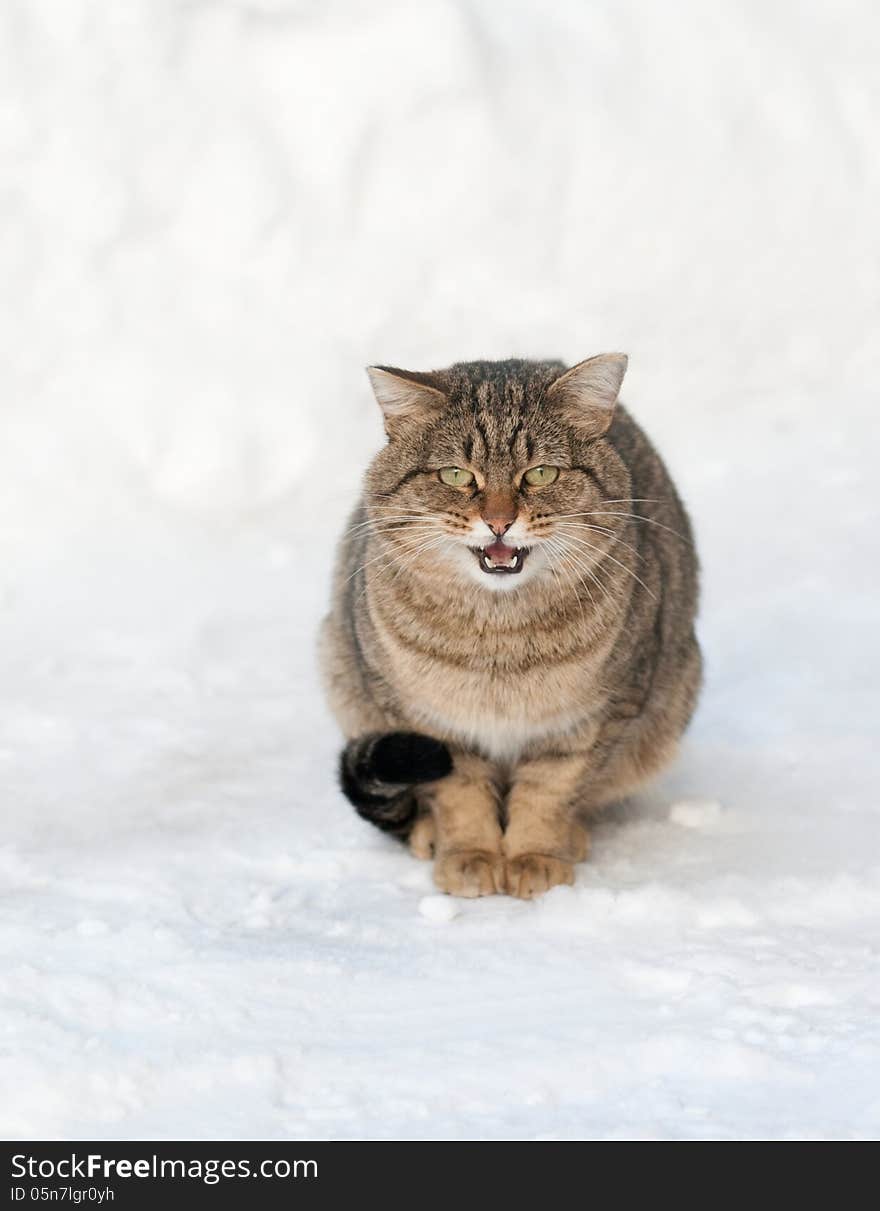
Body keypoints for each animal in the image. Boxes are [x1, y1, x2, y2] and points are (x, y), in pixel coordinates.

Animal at [319, 353, 702, 896]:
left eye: (540, 473)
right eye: (456, 475)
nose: (499, 522)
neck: (499, 640)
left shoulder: (591, 719)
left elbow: (547, 792)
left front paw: (534, 856)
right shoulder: (429, 722)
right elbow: (460, 794)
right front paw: (472, 853)